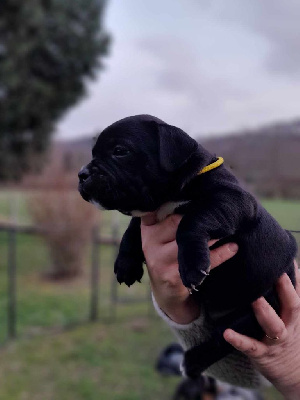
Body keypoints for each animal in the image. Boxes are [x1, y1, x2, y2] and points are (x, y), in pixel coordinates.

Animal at [78, 113, 298, 378]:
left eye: (120, 151)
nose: (81, 173)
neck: (168, 198)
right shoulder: (147, 215)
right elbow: (133, 229)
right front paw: (126, 263)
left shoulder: (231, 200)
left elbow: (192, 220)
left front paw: (193, 266)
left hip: (261, 308)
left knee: (225, 338)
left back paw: (191, 362)